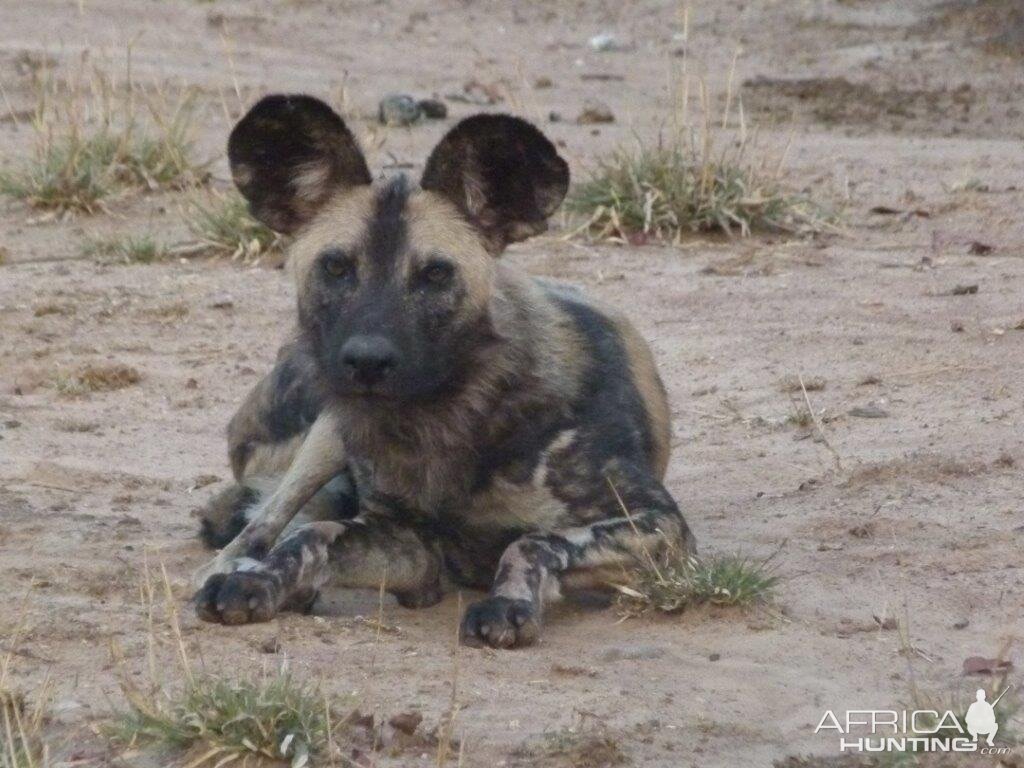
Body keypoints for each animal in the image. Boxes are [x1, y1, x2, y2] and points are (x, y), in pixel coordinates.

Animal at [193, 94, 696, 651]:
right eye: (337, 267)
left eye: (435, 274)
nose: (367, 360)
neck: (447, 418)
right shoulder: (408, 542)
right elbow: (310, 537)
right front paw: (261, 581)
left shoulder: (659, 529)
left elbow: (532, 541)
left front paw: (507, 604)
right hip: (326, 430)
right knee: (261, 523)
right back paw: (240, 569)